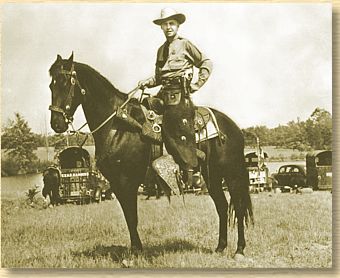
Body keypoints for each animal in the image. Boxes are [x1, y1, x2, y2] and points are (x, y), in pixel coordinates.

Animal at [49, 53, 254, 258]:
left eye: (65, 83)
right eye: (51, 85)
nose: (56, 123)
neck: (117, 126)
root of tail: (234, 127)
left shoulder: (127, 181)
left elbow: (132, 217)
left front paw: (136, 252)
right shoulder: (116, 184)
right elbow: (128, 217)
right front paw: (136, 249)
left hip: (232, 175)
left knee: (239, 206)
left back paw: (239, 250)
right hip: (212, 176)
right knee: (222, 206)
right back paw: (220, 247)